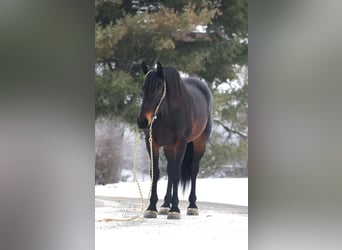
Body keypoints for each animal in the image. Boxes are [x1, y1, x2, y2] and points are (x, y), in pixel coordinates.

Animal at [136, 61, 211, 220]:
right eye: (143, 87)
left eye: (159, 87)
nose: (142, 121)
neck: (168, 114)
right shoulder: (152, 143)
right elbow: (155, 173)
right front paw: (152, 208)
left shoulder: (181, 144)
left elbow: (176, 174)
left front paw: (175, 210)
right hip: (168, 148)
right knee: (170, 170)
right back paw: (165, 205)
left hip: (199, 143)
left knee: (193, 169)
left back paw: (192, 206)